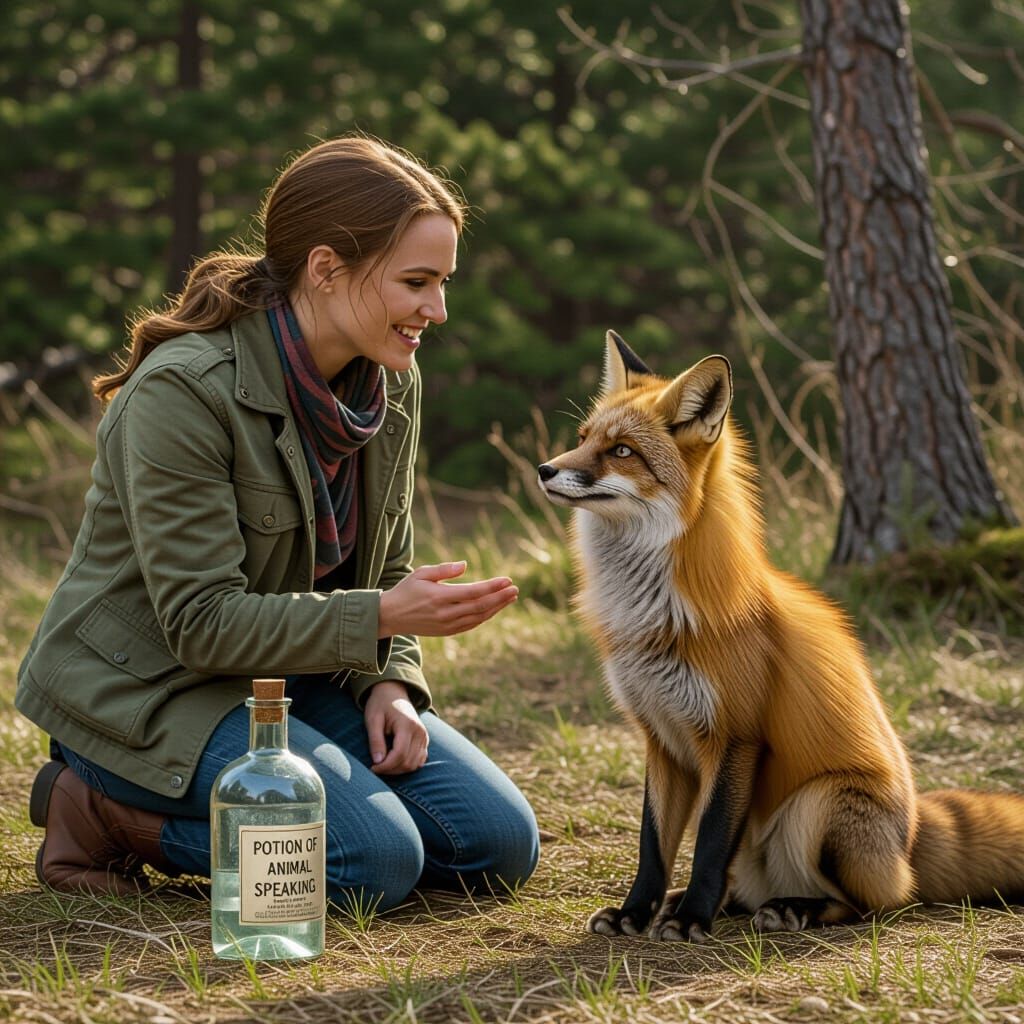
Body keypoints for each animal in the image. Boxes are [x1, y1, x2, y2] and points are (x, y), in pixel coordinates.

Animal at [537, 331, 1024, 941]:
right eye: (583, 439)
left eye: (621, 450)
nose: (544, 469)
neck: (653, 617)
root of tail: (911, 839)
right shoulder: (660, 738)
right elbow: (654, 846)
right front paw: (637, 911)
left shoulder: (737, 736)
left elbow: (709, 844)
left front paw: (692, 918)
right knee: (745, 888)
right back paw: (697, 904)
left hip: (819, 805)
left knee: (876, 901)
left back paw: (791, 907)